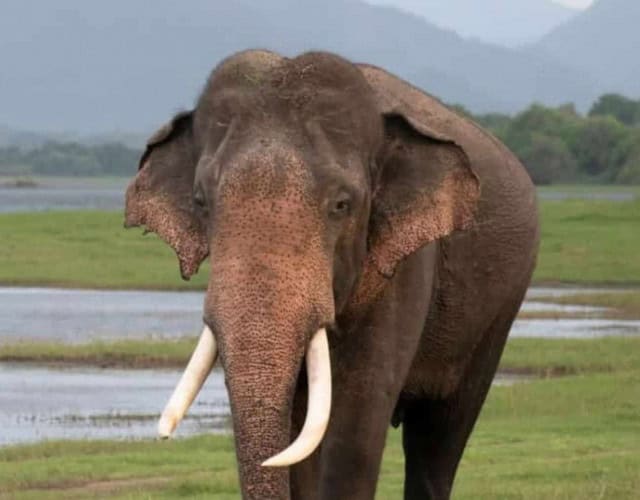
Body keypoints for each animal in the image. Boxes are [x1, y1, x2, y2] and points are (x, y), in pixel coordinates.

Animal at [125, 49, 539, 499]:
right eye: (201, 201)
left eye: (342, 204)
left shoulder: (407, 265)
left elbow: (356, 423)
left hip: (497, 315)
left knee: (440, 438)